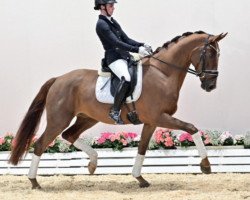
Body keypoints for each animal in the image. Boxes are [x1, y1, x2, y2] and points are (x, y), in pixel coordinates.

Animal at [8, 31, 228, 189]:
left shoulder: (151, 121)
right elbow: (192, 128)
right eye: (210, 53)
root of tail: (58, 79)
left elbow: (142, 148)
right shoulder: (160, 117)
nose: (210, 85)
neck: (162, 73)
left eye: (218, 55)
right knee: (41, 144)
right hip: (58, 119)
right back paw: (34, 182)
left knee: (69, 135)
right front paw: (206, 166)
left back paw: (93, 164)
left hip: (87, 118)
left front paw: (140, 179)